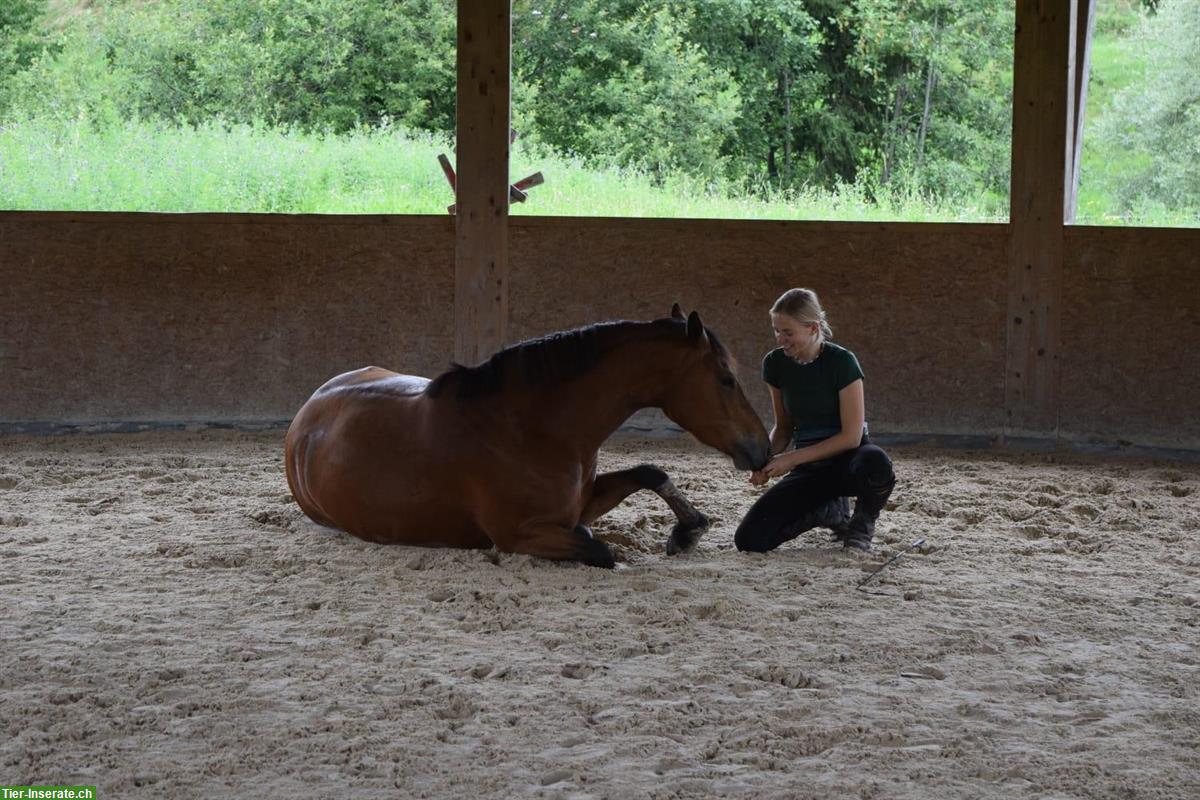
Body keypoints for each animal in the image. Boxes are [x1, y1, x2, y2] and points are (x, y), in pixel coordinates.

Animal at [283, 303, 768, 566]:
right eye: (727, 378)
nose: (762, 447)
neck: (530, 428)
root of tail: (305, 418)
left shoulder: (579, 505)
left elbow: (651, 472)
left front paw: (689, 530)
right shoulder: (520, 536)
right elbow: (601, 551)